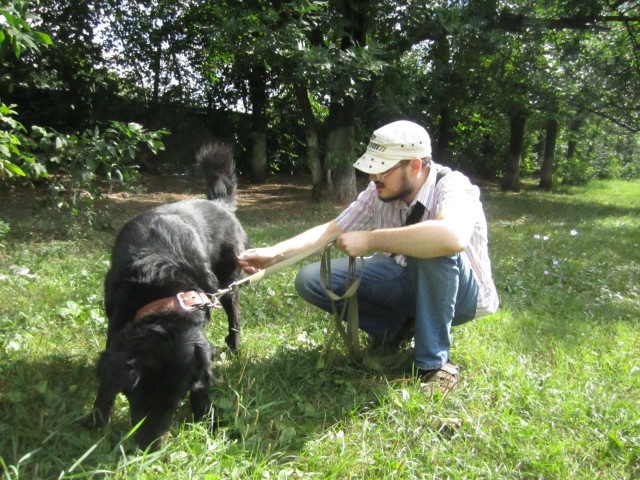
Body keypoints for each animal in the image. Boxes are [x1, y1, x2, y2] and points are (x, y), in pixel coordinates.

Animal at [89, 142, 249, 450]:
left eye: (174, 404)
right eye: (135, 399)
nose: (148, 449)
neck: (163, 290)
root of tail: (220, 205)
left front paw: (206, 417)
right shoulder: (117, 317)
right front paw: (96, 420)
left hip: (228, 282)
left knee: (234, 315)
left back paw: (234, 346)